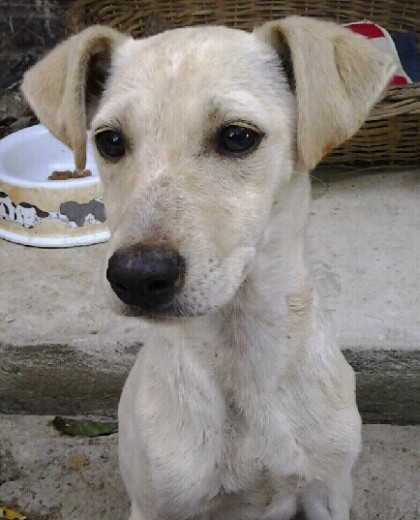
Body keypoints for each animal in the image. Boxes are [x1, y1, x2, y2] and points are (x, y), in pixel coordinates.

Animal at [22, 17, 398, 520]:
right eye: (109, 141)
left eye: (238, 137)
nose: (136, 278)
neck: (240, 358)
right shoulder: (157, 506)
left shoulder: (329, 491)